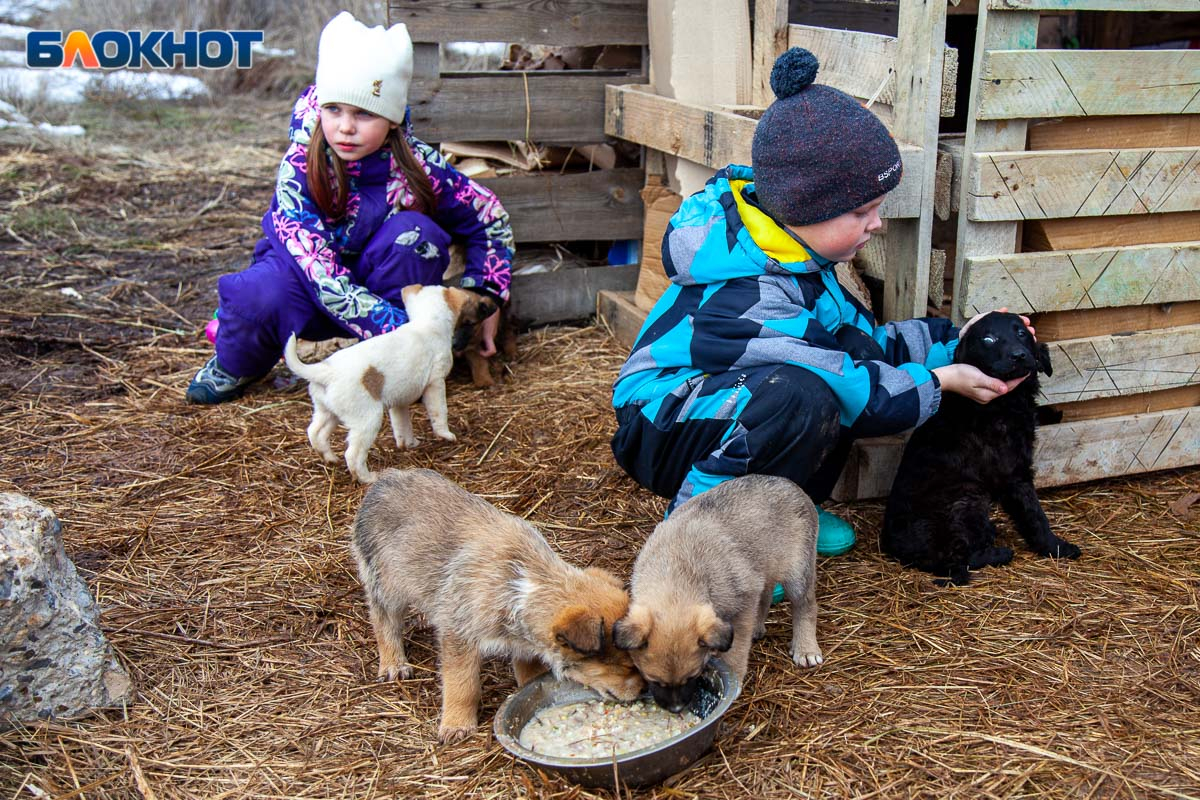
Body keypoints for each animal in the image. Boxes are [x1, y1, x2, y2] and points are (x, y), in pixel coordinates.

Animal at [283, 287, 494, 489]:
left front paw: (409, 444)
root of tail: (324, 372)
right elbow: (439, 414)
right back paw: (367, 478)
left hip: (328, 412)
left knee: (315, 433)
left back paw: (330, 459)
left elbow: (402, 426)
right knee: (353, 454)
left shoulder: (399, 402)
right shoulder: (435, 384)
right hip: (367, 421)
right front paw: (447, 436)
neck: (426, 322)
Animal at [350, 470, 648, 743]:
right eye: (627, 667)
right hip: (386, 583)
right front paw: (457, 723)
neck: (523, 584)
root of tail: (384, 478)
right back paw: (393, 663)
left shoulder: (523, 640)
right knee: (383, 620)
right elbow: (462, 684)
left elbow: (529, 672)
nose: (645, 691)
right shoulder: (459, 636)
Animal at [614, 474, 820, 714]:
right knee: (766, 595)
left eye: (692, 676)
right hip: (763, 567)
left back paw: (806, 648)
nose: (677, 709)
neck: (676, 573)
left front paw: (735, 678)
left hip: (797, 572)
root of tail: (787, 482)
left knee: (805, 606)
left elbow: (736, 650)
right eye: (653, 680)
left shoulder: (742, 609)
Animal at [883, 314, 1080, 587]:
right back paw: (1000, 553)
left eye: (1022, 333)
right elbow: (1035, 515)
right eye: (989, 339)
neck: (1004, 402)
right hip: (968, 498)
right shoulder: (1014, 475)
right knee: (957, 559)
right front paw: (1057, 547)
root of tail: (895, 550)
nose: (1019, 355)